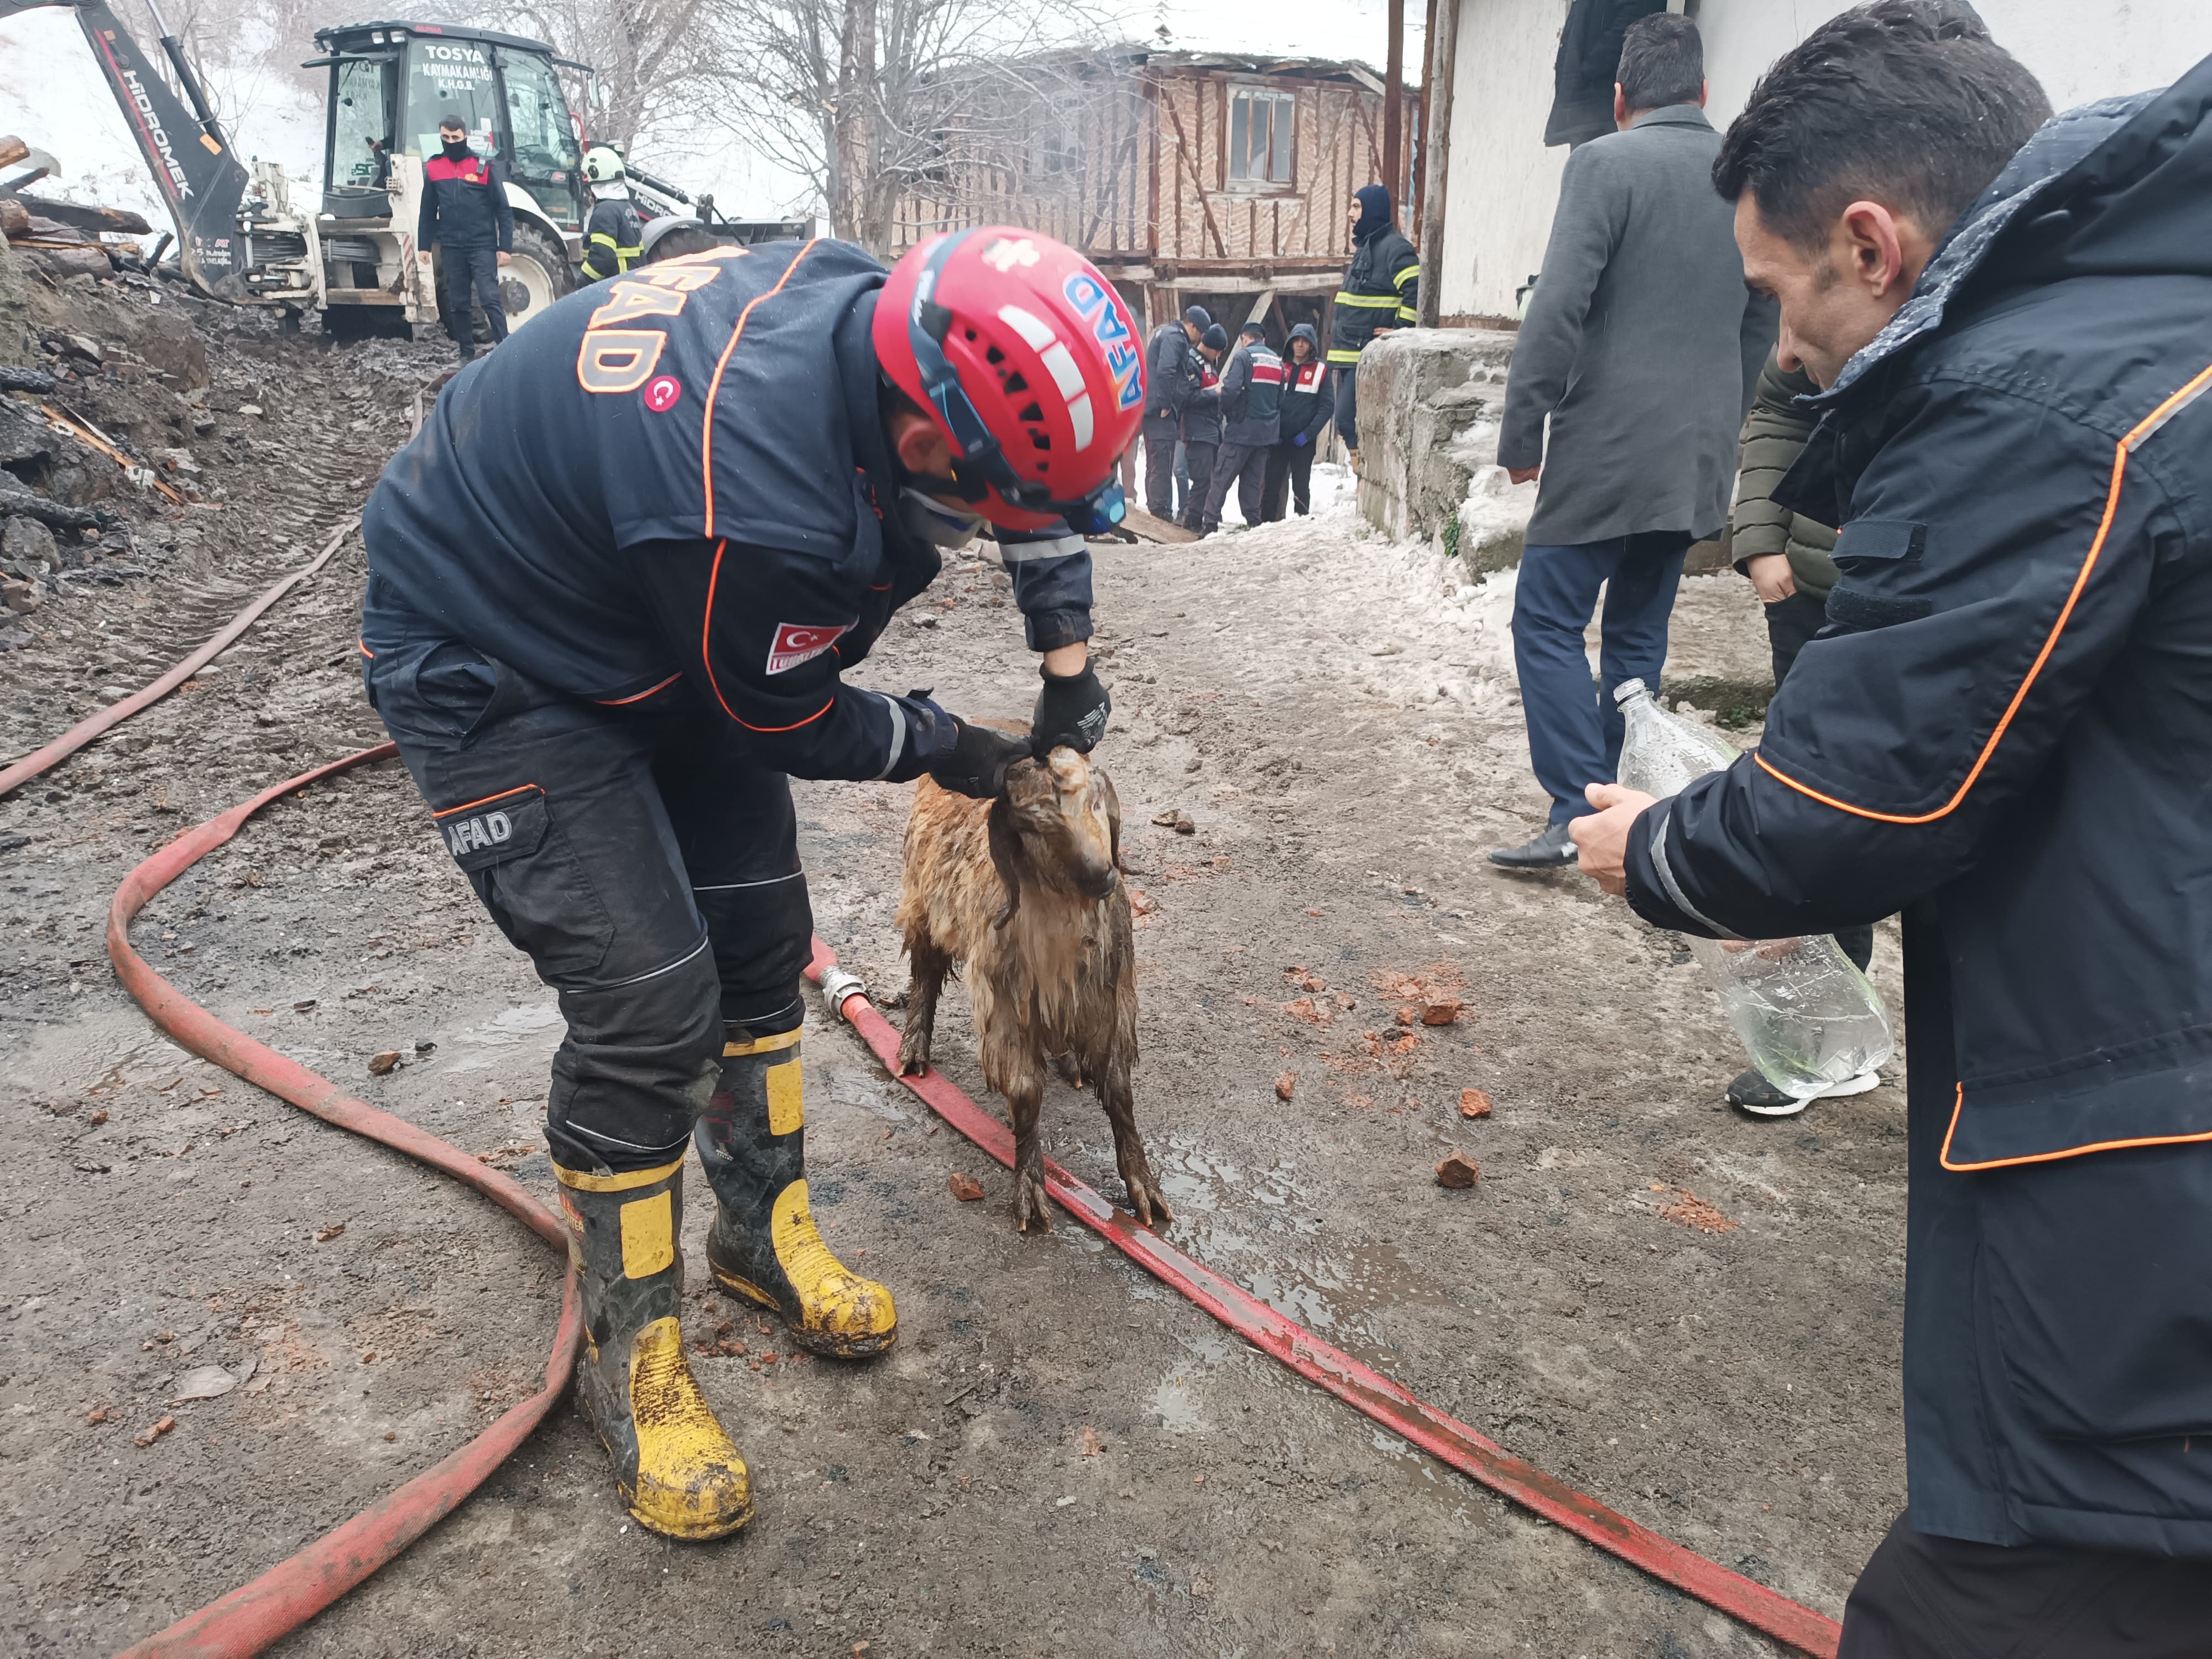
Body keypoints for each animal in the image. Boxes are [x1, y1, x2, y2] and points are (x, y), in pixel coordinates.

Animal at [898, 743, 1177, 1239]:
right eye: (1031, 826)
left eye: (1095, 801)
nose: (1102, 876)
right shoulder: (1006, 1004)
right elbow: (1026, 1093)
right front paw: (1030, 1188)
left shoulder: (1110, 999)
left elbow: (1120, 1091)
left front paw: (1144, 1186)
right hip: (923, 897)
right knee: (925, 974)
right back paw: (913, 1050)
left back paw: (1068, 1061)